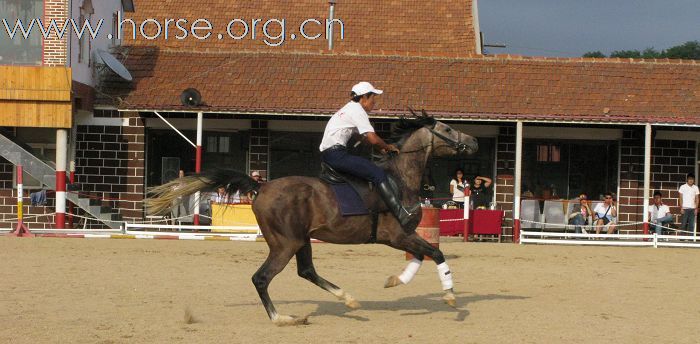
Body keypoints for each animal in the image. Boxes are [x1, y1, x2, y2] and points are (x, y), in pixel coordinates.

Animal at [146, 113, 478, 326]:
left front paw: (396, 280)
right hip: (286, 243)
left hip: (301, 239)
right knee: (262, 278)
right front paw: (450, 297)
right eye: (448, 129)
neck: (399, 179)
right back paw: (282, 318)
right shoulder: (398, 236)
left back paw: (347, 299)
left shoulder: (404, 236)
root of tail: (261, 187)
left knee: (306, 271)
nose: (474, 143)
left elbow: (423, 255)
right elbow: (436, 253)